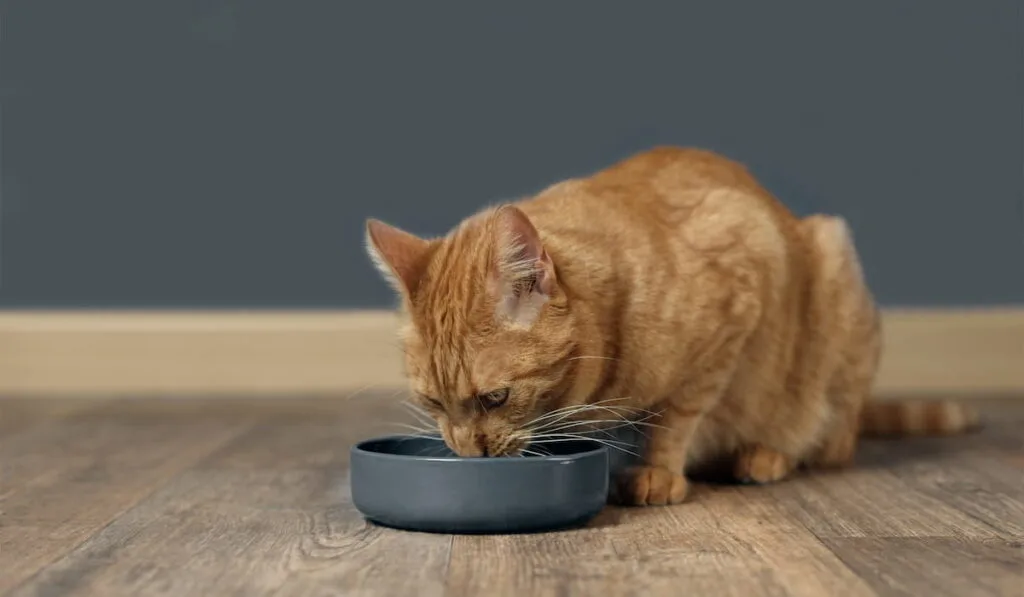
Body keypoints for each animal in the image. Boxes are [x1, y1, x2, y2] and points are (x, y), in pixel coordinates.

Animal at [366, 146, 974, 503]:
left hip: (836, 276)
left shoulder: (739, 291)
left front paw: (658, 470)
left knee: (831, 439)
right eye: (433, 402)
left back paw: (766, 454)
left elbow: (676, 415)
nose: (469, 455)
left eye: (495, 398)